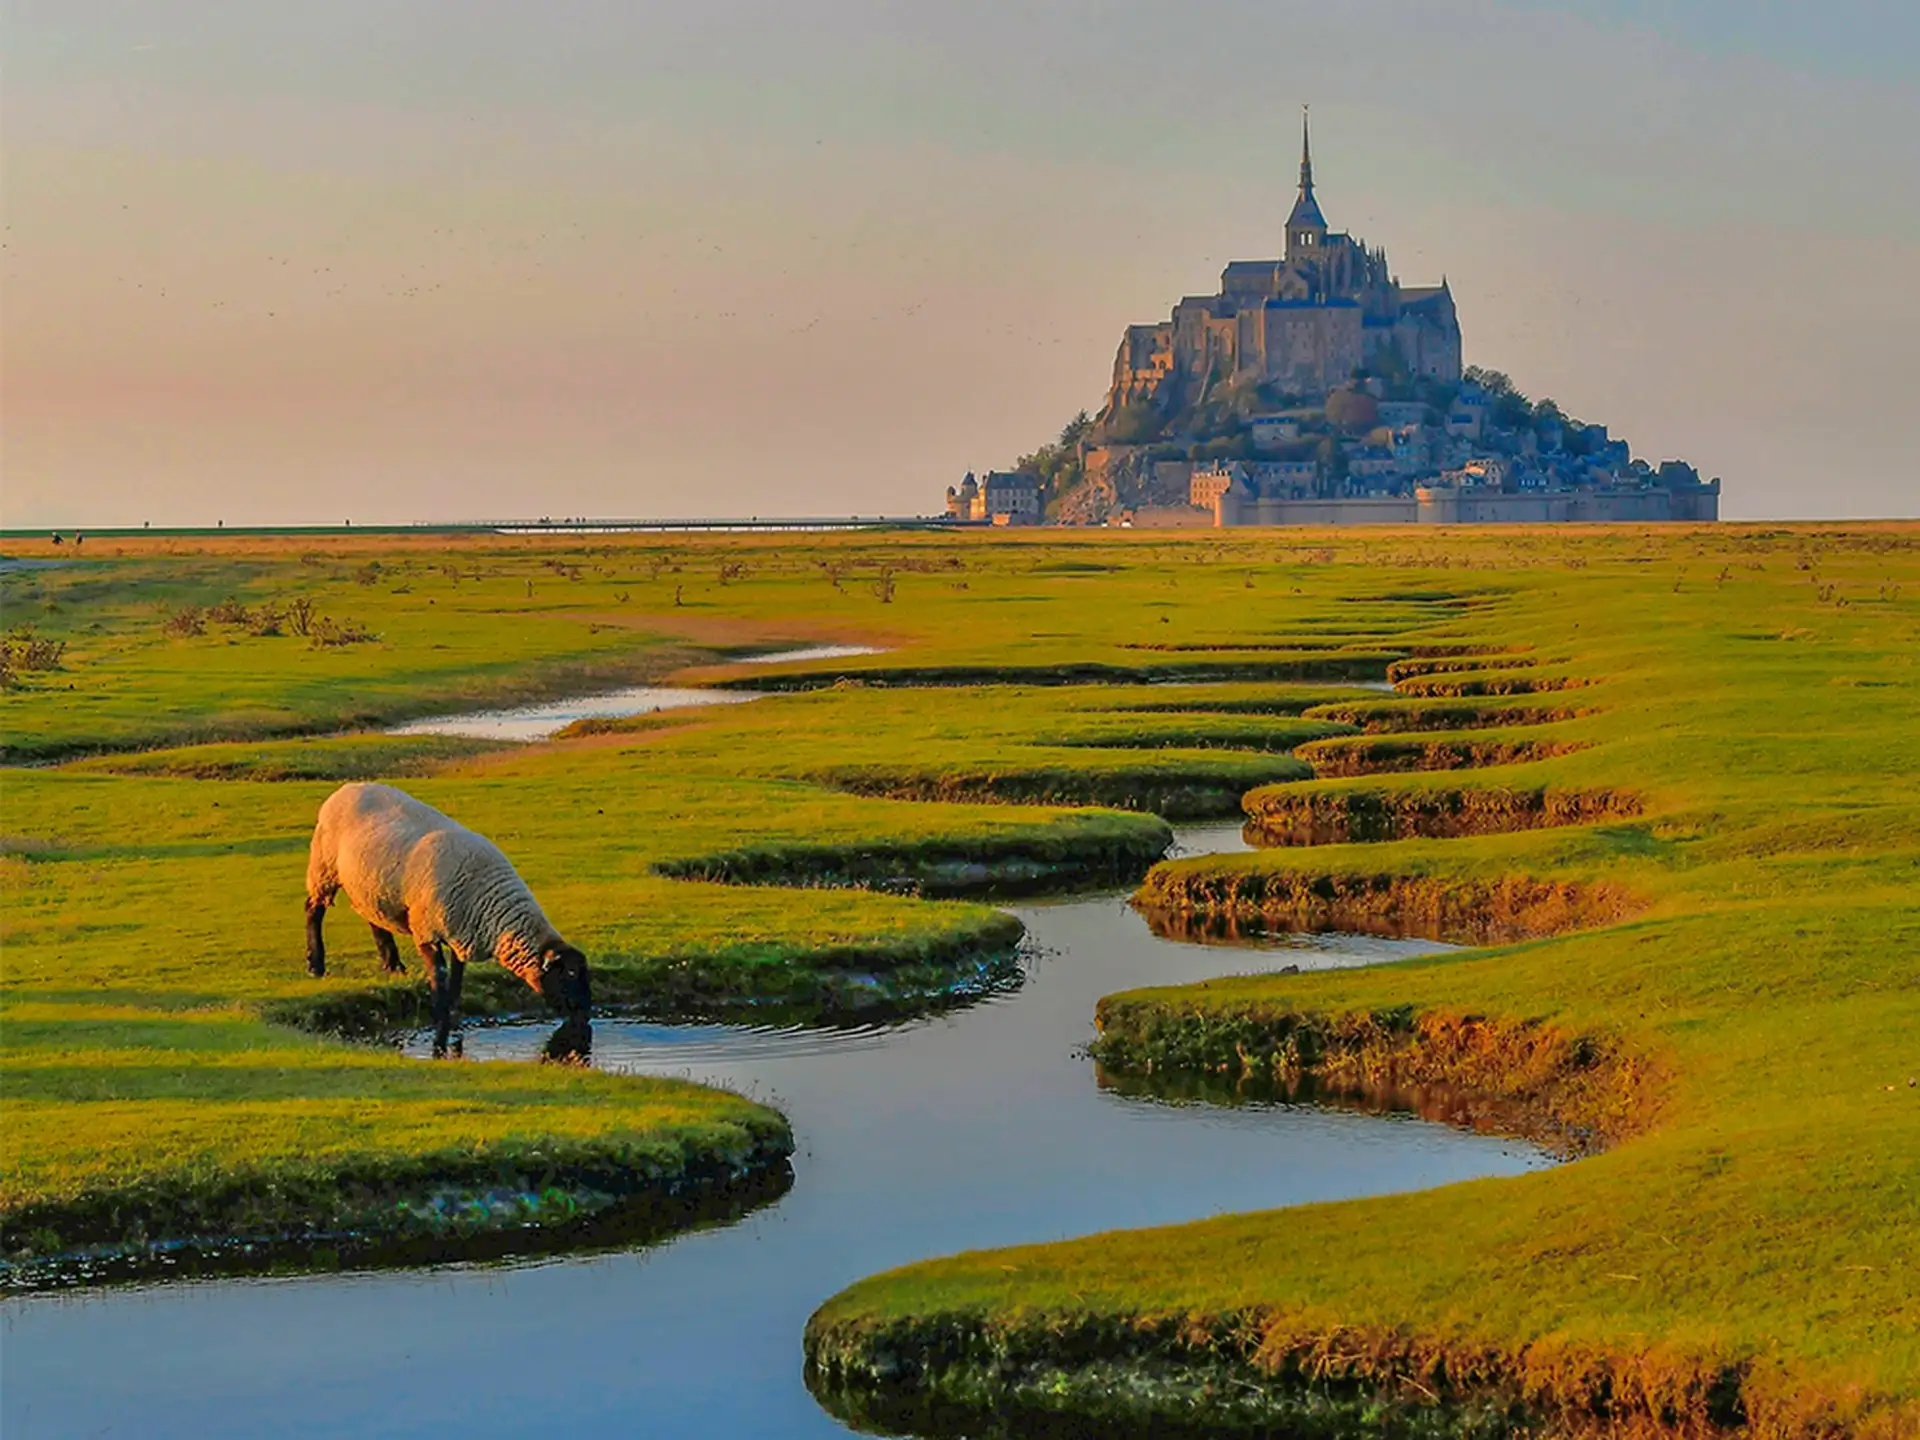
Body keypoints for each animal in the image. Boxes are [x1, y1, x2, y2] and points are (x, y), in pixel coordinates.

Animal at [305, 791, 591, 1059]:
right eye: (569, 974)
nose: (586, 1015)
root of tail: (347, 788)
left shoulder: (462, 931)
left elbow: (457, 976)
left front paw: (453, 1012)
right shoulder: (427, 931)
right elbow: (438, 974)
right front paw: (439, 1015)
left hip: (370, 886)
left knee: (375, 920)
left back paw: (393, 965)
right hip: (323, 867)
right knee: (313, 910)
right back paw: (315, 965)